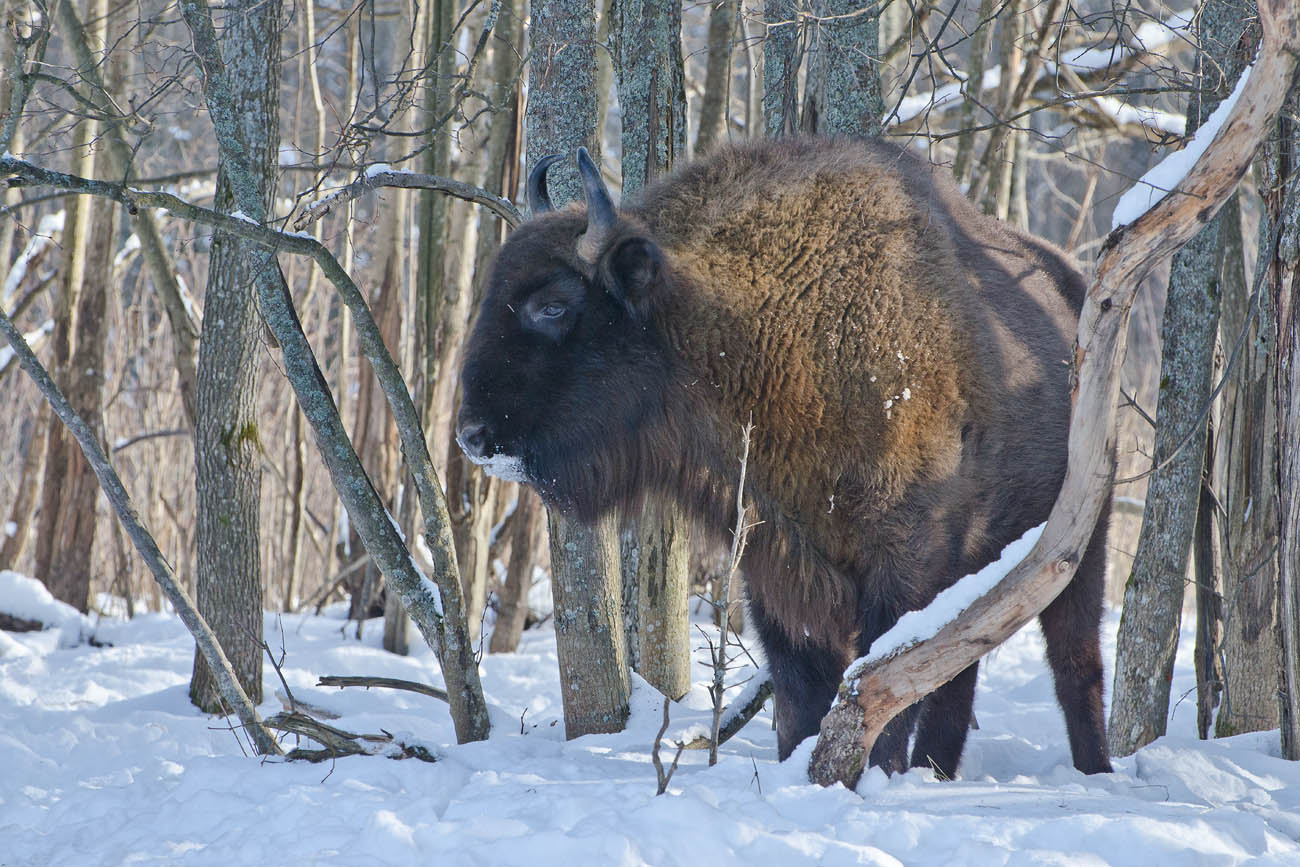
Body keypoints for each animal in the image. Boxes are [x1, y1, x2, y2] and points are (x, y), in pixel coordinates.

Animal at [454, 137, 1107, 779]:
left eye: (553, 306)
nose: (471, 436)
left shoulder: (905, 567)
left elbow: (885, 690)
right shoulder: (775, 570)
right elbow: (803, 696)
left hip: (1077, 546)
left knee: (1075, 663)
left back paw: (1092, 769)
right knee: (963, 677)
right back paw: (937, 772)